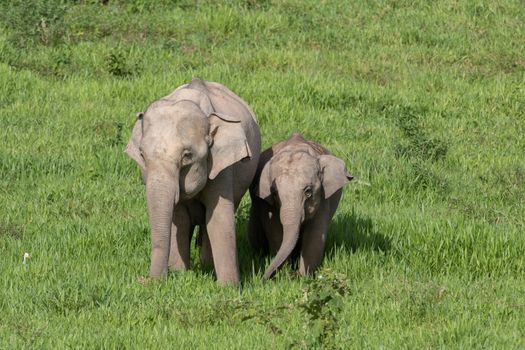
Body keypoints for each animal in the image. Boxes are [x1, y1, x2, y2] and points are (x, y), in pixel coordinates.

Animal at [125, 78, 260, 286]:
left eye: (187, 155)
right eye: (142, 154)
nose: (152, 282)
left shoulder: (221, 168)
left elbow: (219, 217)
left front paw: (228, 287)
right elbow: (179, 219)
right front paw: (180, 273)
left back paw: (206, 264)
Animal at [249, 133, 352, 278]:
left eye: (308, 191)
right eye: (274, 194)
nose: (262, 278)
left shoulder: (324, 198)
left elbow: (315, 233)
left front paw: (303, 277)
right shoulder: (266, 202)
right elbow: (275, 231)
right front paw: (285, 274)